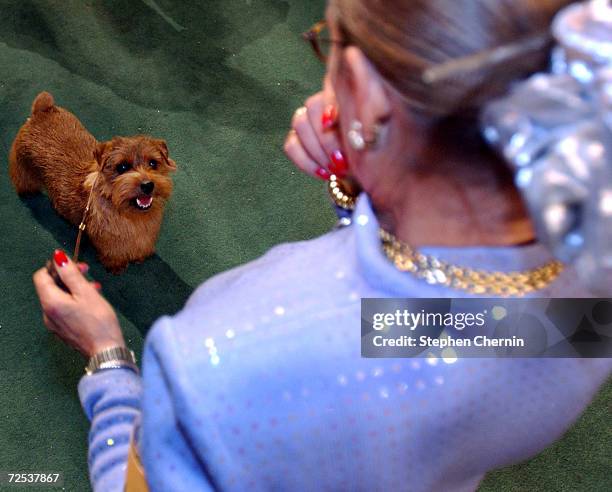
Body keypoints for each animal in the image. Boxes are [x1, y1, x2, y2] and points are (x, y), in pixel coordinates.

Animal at [10, 91, 177, 272]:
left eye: (153, 163)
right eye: (122, 167)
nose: (147, 185)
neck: (131, 215)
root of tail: (43, 109)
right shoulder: (110, 241)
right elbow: (113, 253)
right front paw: (116, 265)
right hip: (22, 164)